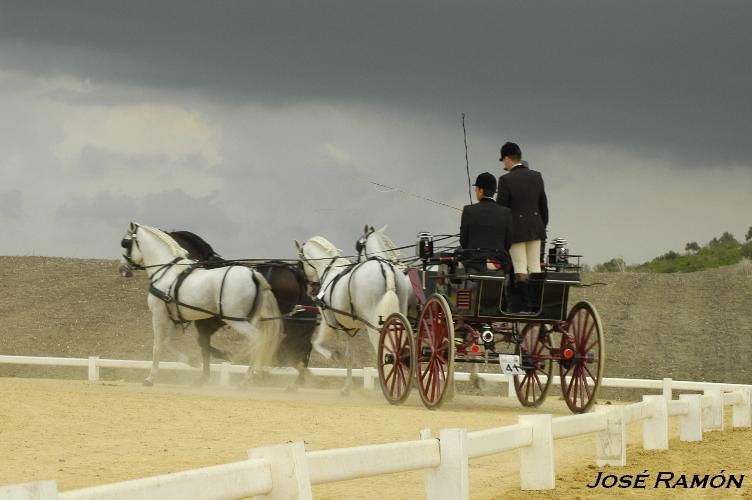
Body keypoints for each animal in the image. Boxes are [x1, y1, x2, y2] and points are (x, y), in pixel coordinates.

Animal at [117, 223, 282, 386]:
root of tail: (254, 274)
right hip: (251, 319)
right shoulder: (174, 318)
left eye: (125, 243)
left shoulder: (159, 316)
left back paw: (247, 379)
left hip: (236, 320)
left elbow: (158, 346)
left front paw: (150, 378)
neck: (167, 272)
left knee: (257, 339)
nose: (122, 269)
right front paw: (192, 361)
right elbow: (168, 343)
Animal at [169, 230, 316, 382]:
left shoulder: (205, 322)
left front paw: (207, 372)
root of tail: (294, 273)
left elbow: (203, 345)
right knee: (300, 348)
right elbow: (203, 344)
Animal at [296, 235, 412, 394]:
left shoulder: (328, 323)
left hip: (374, 326)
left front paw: (333, 356)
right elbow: (349, 356)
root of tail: (386, 269)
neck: (330, 269)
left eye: (300, 263)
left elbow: (316, 343)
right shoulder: (349, 329)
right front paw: (347, 388)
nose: (311, 289)